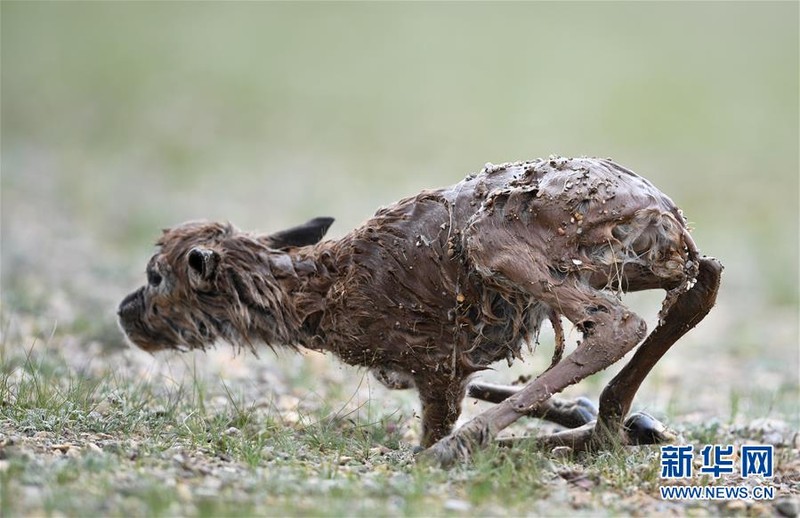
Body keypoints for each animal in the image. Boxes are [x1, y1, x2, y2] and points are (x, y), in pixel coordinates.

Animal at [120, 157, 724, 468]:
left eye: (156, 275)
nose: (126, 313)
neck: (320, 294)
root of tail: (665, 215)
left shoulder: (436, 366)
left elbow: (436, 420)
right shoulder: (422, 368)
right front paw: (617, 420)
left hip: (493, 243)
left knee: (618, 323)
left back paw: (467, 448)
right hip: (639, 264)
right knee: (704, 280)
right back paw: (609, 424)